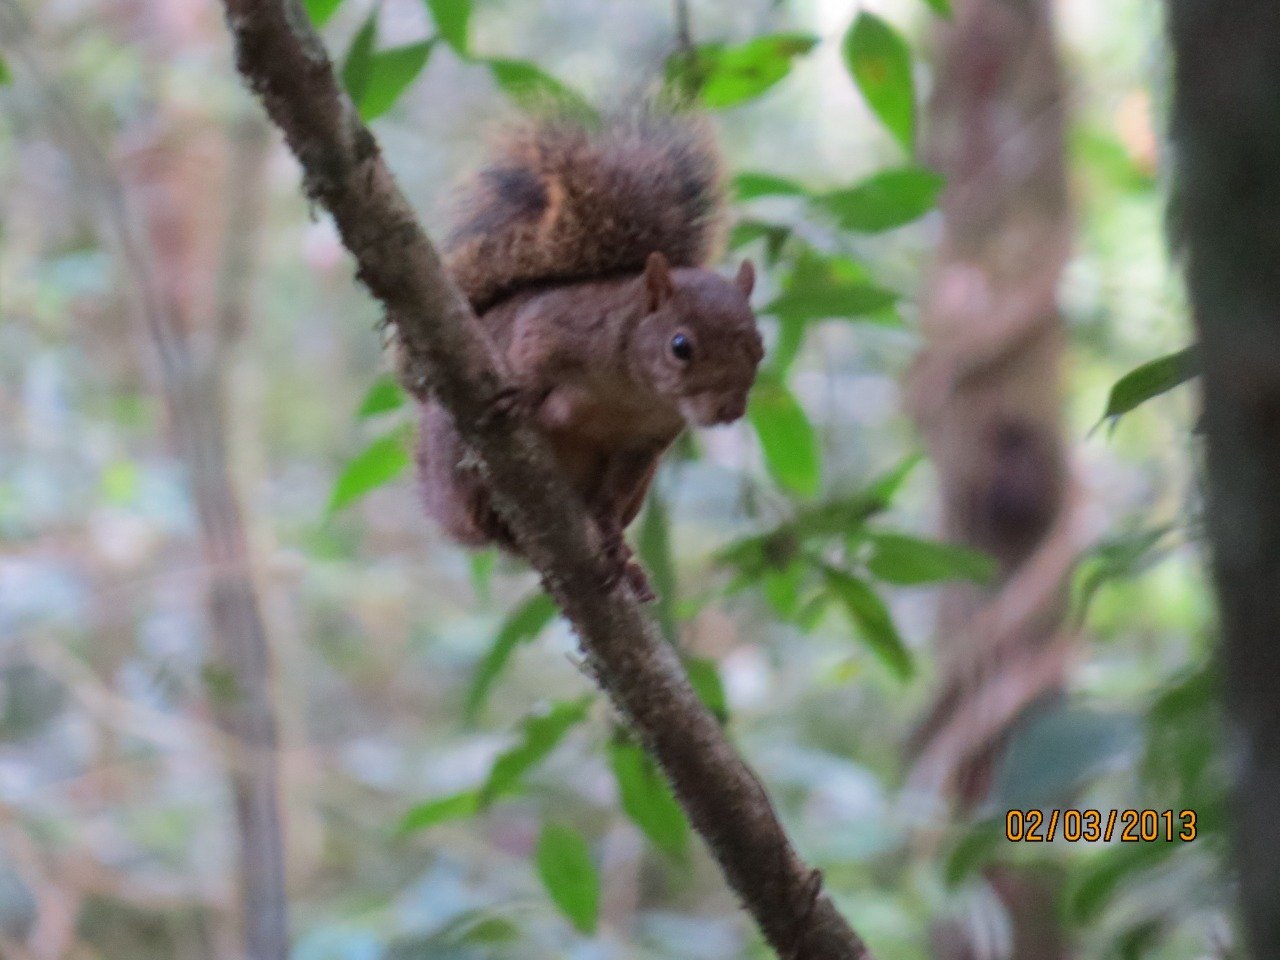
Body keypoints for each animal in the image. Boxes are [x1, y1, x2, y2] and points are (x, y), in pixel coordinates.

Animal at [417, 108, 757, 599]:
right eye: (681, 347)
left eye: (760, 348)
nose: (730, 410)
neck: (633, 390)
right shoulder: (560, 323)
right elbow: (533, 349)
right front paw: (525, 394)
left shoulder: (646, 442)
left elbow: (614, 495)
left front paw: (612, 535)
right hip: (454, 459)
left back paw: (629, 568)